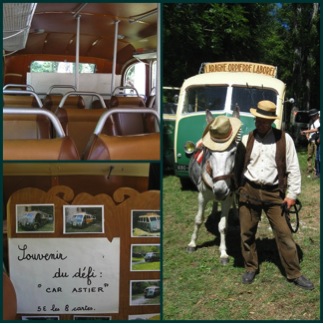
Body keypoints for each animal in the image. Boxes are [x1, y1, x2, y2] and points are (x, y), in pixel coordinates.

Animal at [186, 110, 242, 264]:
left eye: (233, 152)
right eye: (210, 152)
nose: (220, 190)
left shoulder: (227, 197)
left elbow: (223, 227)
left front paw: (223, 253)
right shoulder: (202, 196)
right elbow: (198, 220)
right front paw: (192, 244)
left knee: (233, 201)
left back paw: (235, 215)